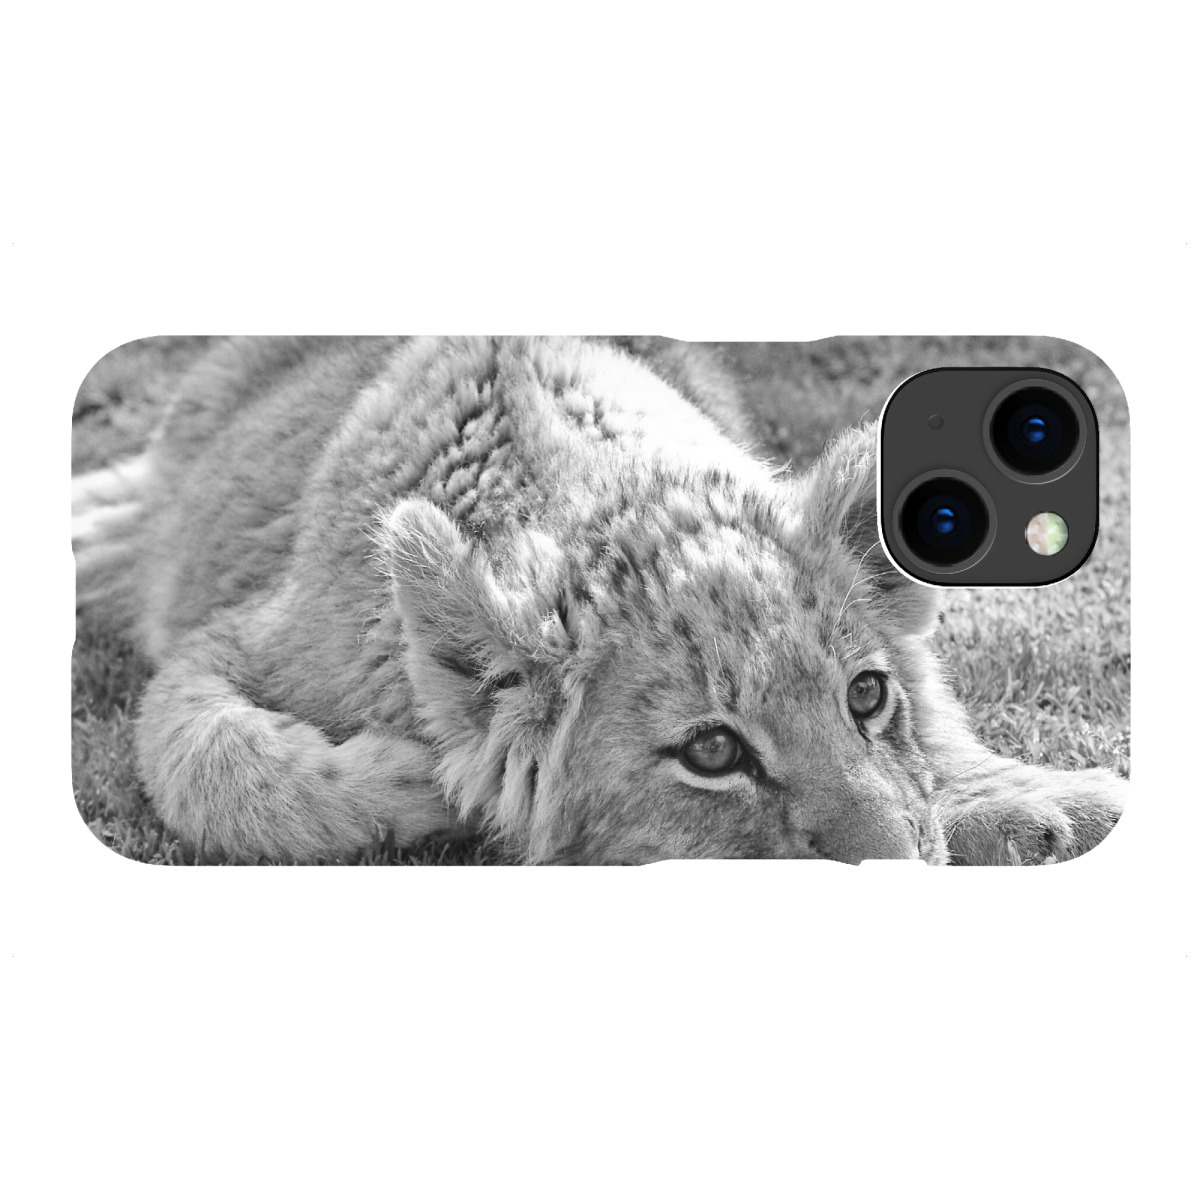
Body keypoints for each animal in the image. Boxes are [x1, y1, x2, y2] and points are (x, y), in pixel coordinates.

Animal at [72, 336, 1126, 864]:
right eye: (712, 752)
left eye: (865, 696)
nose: (902, 872)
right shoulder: (227, 642)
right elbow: (218, 762)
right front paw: (422, 785)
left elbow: (938, 734)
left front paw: (1040, 806)